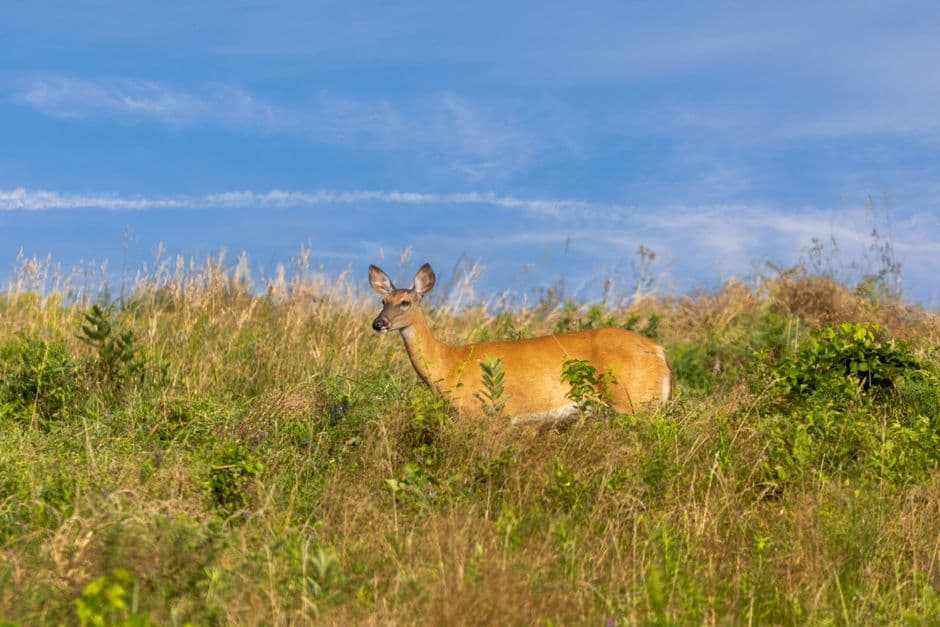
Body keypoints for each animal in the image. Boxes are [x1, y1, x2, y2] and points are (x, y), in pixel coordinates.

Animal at [369, 262, 673, 423]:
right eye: (383, 301)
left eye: (405, 302)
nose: (378, 323)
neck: (449, 364)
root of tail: (659, 352)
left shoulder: (481, 413)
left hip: (635, 400)